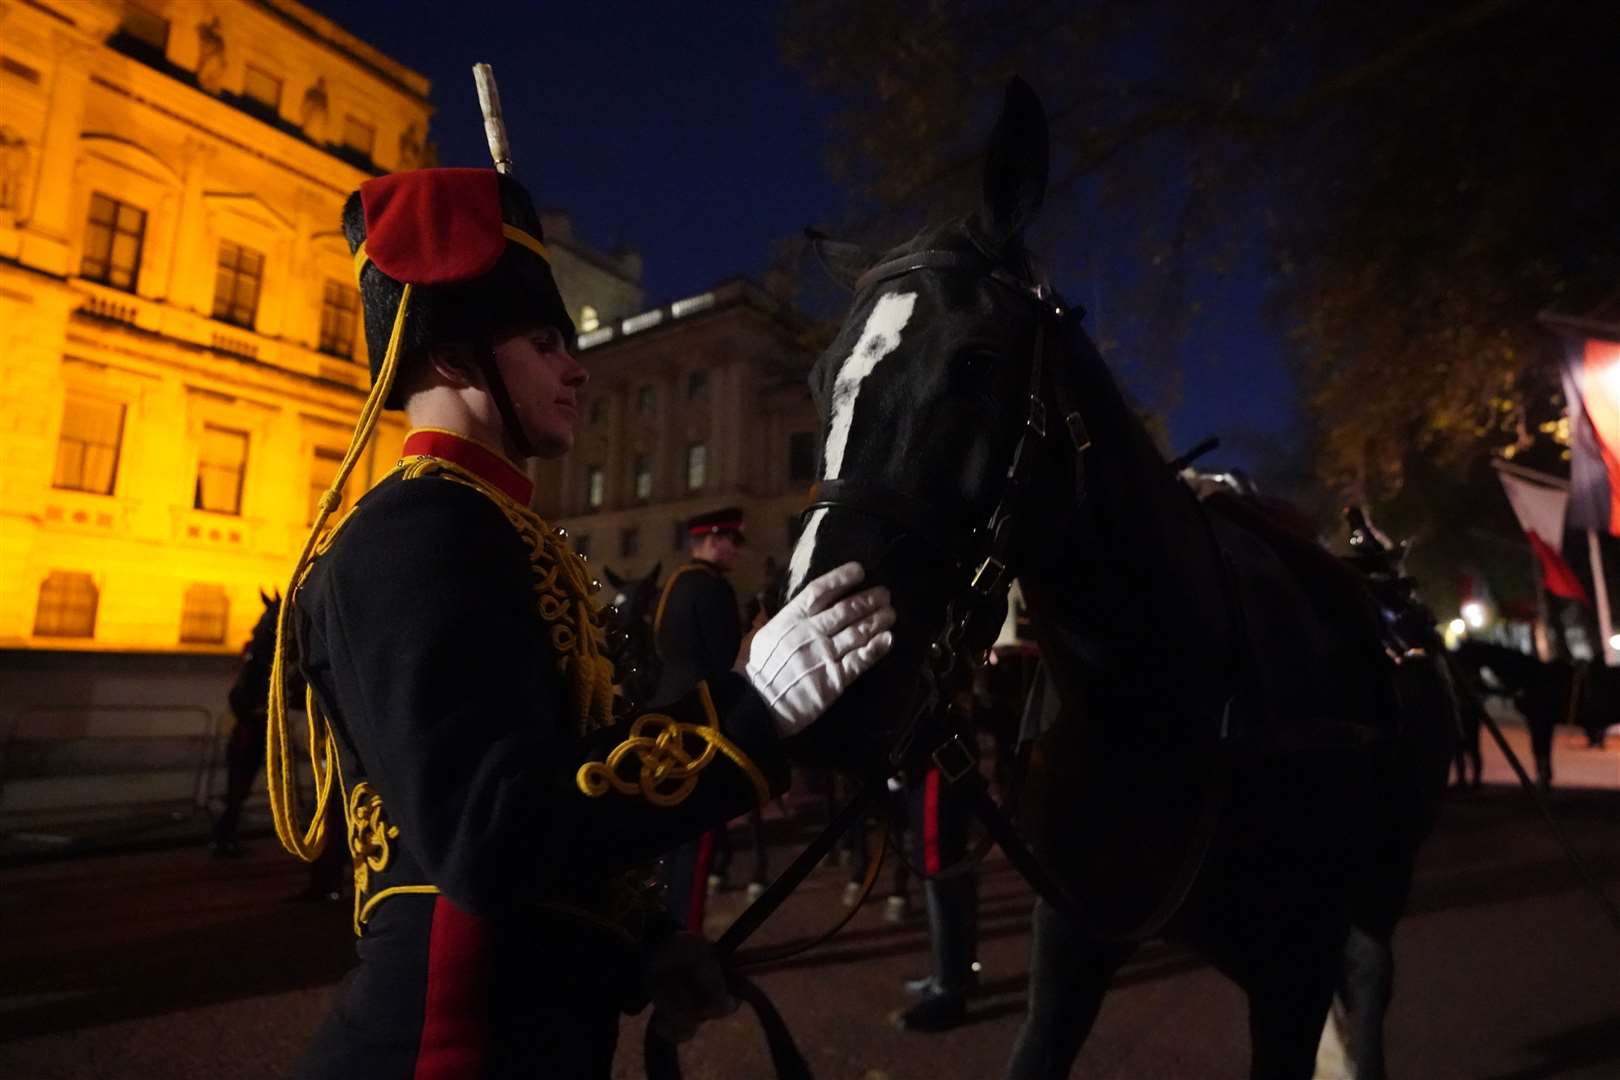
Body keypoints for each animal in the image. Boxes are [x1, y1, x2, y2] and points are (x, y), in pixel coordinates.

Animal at [784, 82, 1458, 1080]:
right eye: (819, 378)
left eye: (977, 360)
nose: (816, 672)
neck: (1156, 698)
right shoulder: (1073, 940)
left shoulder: (1292, 971)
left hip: (1381, 885)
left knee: (1368, 991)